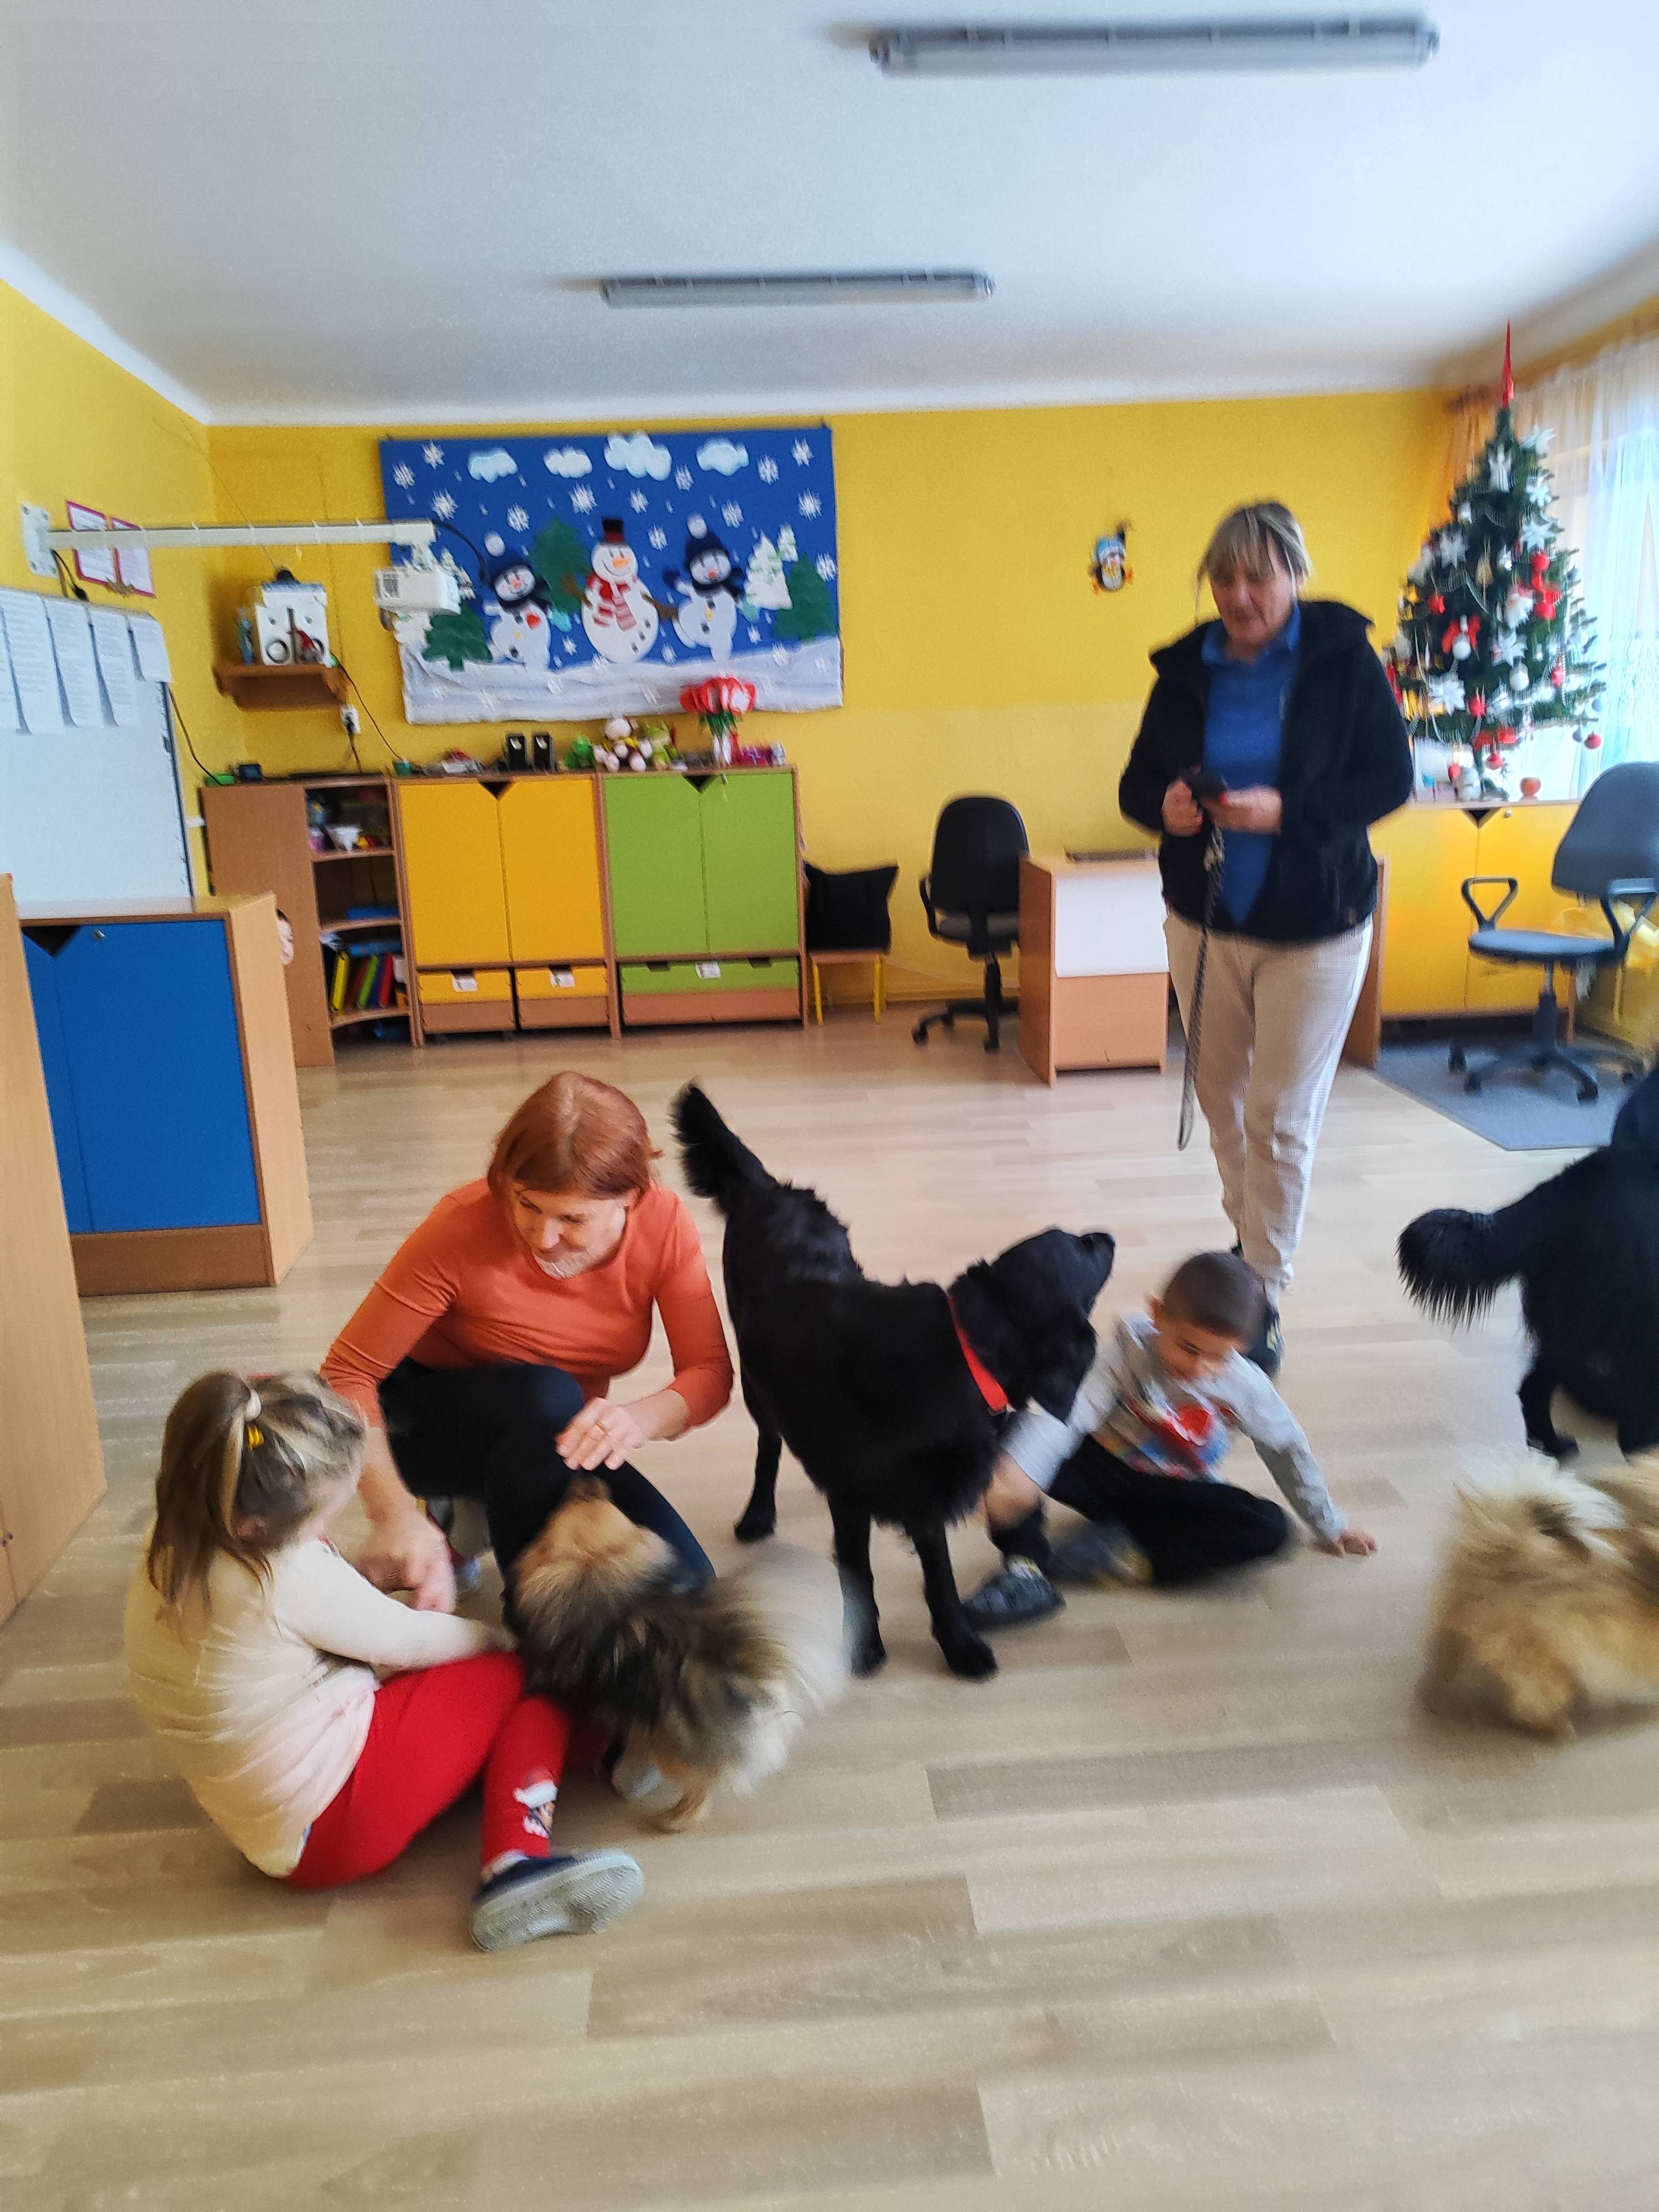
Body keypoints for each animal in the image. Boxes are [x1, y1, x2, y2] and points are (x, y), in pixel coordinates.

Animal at [512, 1476, 847, 1830]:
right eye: (595, 1497)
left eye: (558, 1511)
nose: (587, 1478)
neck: (602, 1567)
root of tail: (745, 1678)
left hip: (672, 1754)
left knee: (701, 1792)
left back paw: (672, 1820)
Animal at [671, 1082, 1116, 1681]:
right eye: (1082, 1249)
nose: (1107, 1235)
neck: (966, 1349)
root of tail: (772, 1190)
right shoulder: (852, 1496)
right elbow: (859, 1578)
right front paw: (865, 1647)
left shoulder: (926, 1497)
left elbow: (941, 1581)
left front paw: (959, 1644)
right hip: (756, 1383)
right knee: (769, 1443)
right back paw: (759, 1513)